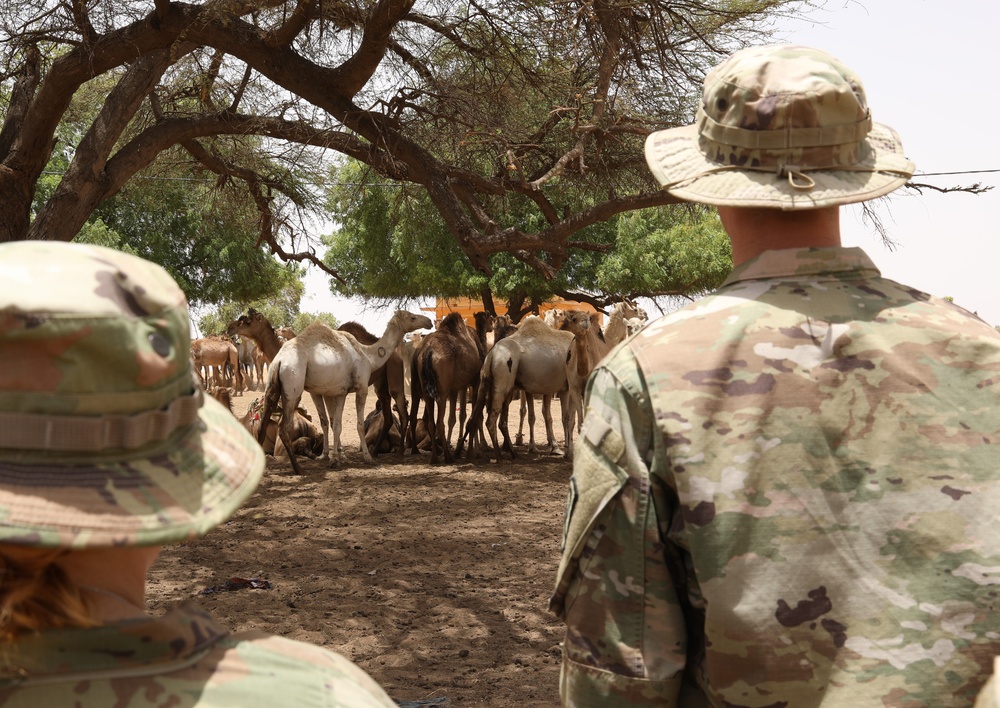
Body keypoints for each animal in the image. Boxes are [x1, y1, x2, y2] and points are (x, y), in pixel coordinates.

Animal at [256, 312, 432, 472]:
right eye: (412, 317)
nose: (429, 321)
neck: (368, 355)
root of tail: (279, 361)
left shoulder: (339, 392)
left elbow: (336, 424)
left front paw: (336, 459)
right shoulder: (361, 388)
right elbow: (359, 425)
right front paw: (366, 458)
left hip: (272, 386)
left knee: (261, 426)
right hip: (293, 386)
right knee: (284, 428)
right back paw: (298, 468)